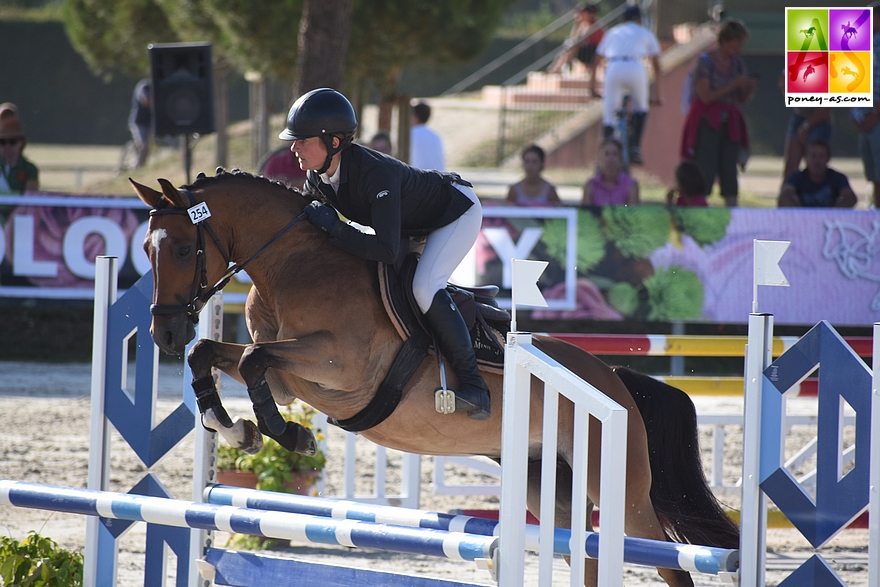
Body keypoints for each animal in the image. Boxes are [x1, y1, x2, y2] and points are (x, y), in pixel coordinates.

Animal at [134, 170, 740, 587]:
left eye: (185, 248)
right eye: (145, 249)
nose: (164, 333)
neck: (291, 264)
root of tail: (612, 381)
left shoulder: (339, 368)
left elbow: (255, 361)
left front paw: (292, 436)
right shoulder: (289, 378)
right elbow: (215, 354)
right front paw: (233, 429)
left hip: (623, 492)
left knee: (669, 561)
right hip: (548, 486)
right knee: (582, 552)